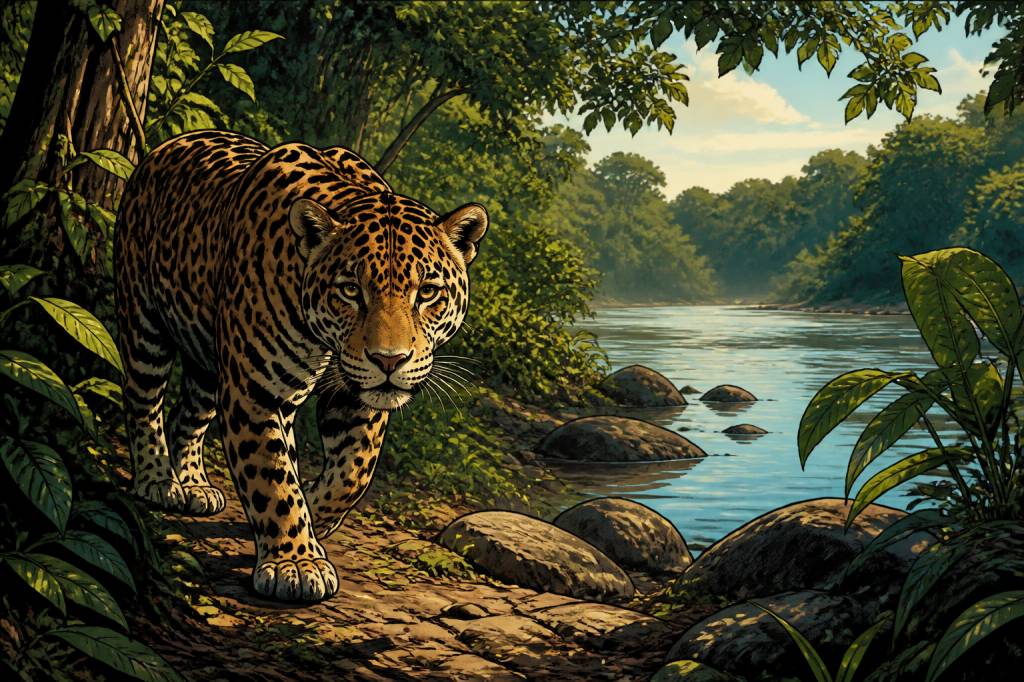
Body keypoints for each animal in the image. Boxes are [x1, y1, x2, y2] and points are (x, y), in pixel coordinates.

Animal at [114, 129, 487, 602]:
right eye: (350, 290)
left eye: (428, 292)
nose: (389, 359)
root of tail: (164, 148)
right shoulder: (253, 391)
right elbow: (271, 476)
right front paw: (295, 563)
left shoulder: (354, 399)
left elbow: (354, 472)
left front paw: (316, 512)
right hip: (143, 320)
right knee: (143, 400)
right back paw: (157, 480)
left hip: (207, 359)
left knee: (191, 414)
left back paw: (194, 483)